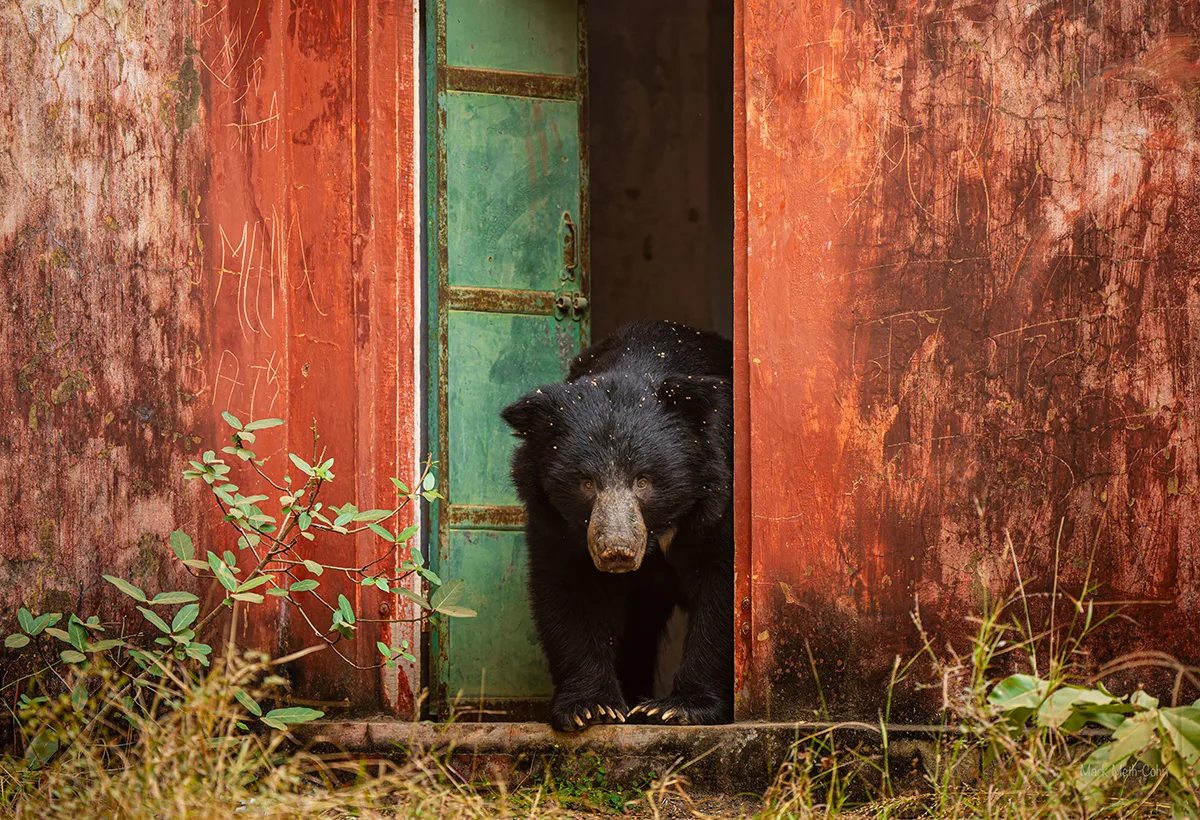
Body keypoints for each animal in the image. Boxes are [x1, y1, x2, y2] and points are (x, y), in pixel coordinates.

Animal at [501, 319, 734, 732]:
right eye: (586, 482)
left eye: (644, 480)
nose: (616, 551)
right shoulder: (556, 522)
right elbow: (570, 590)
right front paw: (590, 707)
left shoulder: (718, 502)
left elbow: (720, 592)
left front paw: (678, 708)